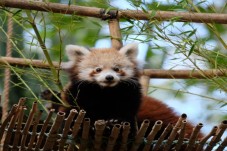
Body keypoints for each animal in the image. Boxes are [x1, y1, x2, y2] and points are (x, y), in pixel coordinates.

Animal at [41, 43, 203, 139]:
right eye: (98, 69)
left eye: (116, 69)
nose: (109, 77)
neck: (106, 93)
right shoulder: (79, 94)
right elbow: (76, 113)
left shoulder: (130, 96)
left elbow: (127, 114)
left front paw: (115, 121)